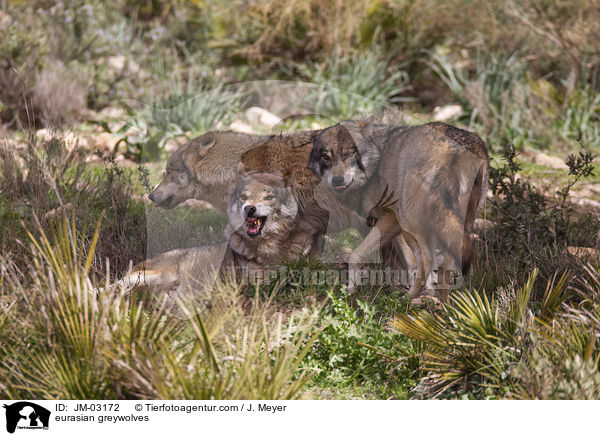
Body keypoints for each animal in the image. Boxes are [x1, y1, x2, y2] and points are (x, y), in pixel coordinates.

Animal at [310, 121, 488, 302]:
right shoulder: (407, 229)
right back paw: (444, 305)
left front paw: (350, 290)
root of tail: (457, 150)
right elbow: (412, 262)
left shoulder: (391, 219)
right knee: (444, 265)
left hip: (409, 221)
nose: (337, 180)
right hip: (455, 224)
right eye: (326, 157)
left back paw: (408, 298)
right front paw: (429, 293)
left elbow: (355, 256)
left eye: (350, 153)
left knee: (428, 260)